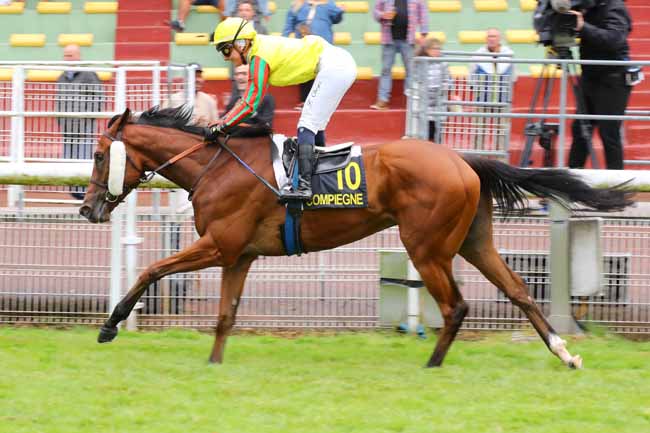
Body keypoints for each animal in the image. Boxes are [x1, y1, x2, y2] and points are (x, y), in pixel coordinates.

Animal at [78, 106, 632, 366]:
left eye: (99, 155)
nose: (87, 208)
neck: (215, 166)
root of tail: (462, 159)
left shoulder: (220, 246)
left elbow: (152, 269)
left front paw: (109, 326)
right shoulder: (239, 255)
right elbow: (224, 316)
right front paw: (214, 365)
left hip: (427, 246)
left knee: (455, 306)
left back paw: (432, 364)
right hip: (473, 242)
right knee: (519, 292)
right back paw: (565, 353)